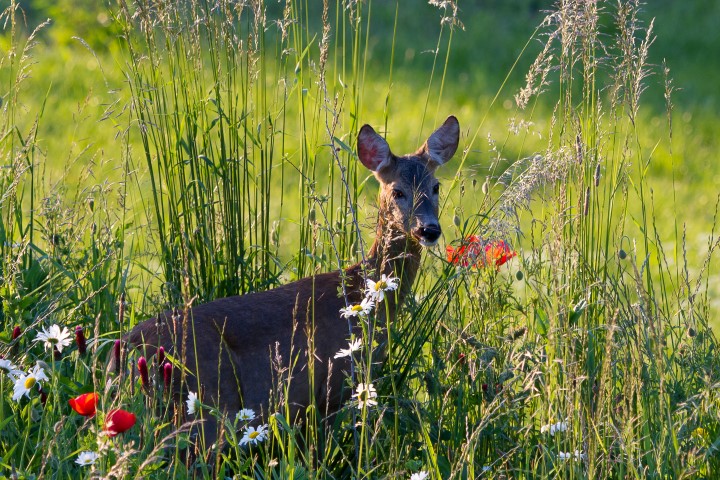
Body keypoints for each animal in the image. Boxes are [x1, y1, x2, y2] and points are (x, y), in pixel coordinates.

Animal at [116, 114, 456, 448]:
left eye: (436, 186)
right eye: (397, 191)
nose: (429, 229)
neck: (363, 294)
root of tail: (126, 351)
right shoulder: (332, 384)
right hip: (207, 405)